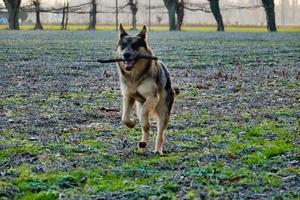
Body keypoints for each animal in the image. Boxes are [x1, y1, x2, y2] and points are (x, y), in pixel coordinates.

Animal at [116, 23, 178, 155]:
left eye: (135, 46)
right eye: (123, 45)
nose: (126, 55)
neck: (135, 75)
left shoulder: (152, 97)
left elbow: (144, 115)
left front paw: (142, 123)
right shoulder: (128, 97)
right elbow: (124, 118)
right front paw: (131, 123)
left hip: (163, 111)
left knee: (160, 134)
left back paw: (158, 150)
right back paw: (143, 144)